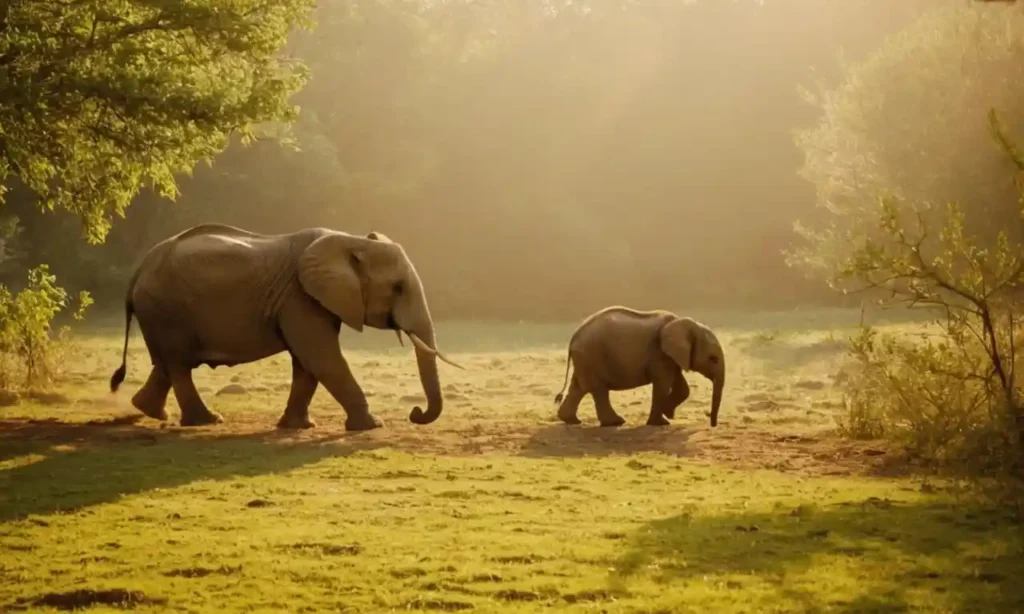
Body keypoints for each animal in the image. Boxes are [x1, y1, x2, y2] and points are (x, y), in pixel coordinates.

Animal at [110, 223, 462, 429]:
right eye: (398, 287)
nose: (415, 413)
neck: (351, 241)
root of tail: (138, 271)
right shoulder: (300, 298)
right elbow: (321, 358)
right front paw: (372, 426)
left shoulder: (309, 301)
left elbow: (307, 364)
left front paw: (298, 428)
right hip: (165, 310)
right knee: (179, 365)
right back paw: (206, 421)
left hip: (160, 314)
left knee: (167, 364)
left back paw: (153, 413)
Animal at [557, 304, 724, 427]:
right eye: (713, 359)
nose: (712, 424)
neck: (684, 323)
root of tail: (575, 335)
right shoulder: (659, 354)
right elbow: (663, 384)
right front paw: (661, 422)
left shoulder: (671, 356)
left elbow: (682, 386)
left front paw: (668, 413)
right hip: (592, 356)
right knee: (598, 389)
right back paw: (615, 422)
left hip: (585, 359)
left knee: (578, 387)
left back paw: (571, 420)